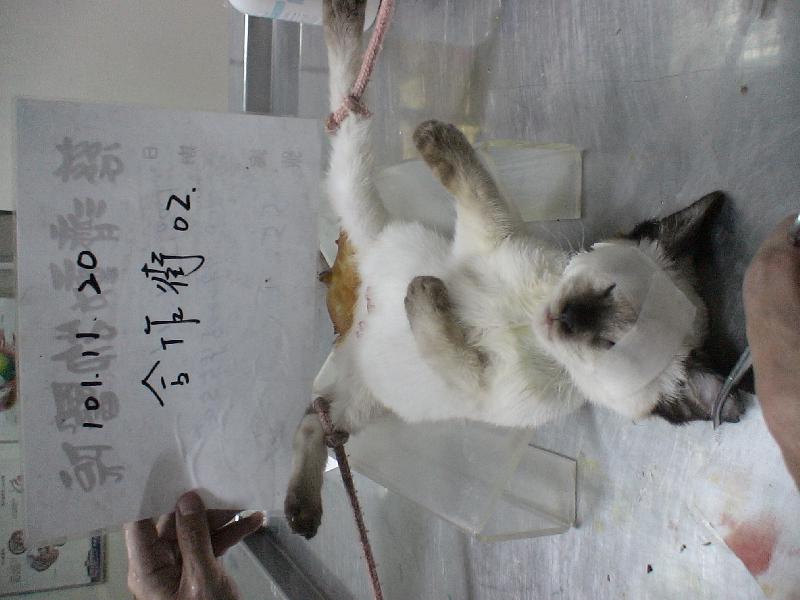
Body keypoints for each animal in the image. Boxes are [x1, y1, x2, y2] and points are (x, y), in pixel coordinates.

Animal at [283, 0, 742, 539]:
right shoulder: (489, 235)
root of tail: (352, 315)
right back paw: (349, 20)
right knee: (347, 108)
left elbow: (440, 334)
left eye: (609, 345)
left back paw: (302, 512)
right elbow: (478, 184)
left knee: (315, 422)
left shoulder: (478, 386)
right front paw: (436, 137)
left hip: (361, 402)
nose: (565, 317)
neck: (527, 323)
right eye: (606, 290)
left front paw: (422, 295)